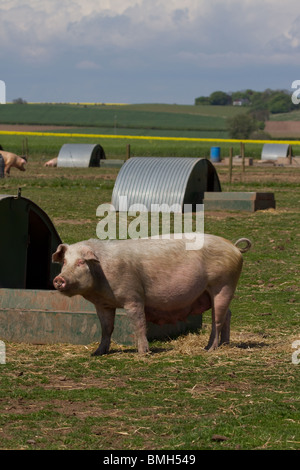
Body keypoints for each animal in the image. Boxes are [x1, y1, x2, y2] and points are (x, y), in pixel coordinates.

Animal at [52, 233, 251, 354]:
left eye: (80, 262)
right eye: (65, 262)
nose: (58, 279)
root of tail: (234, 247)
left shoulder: (134, 296)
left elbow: (139, 323)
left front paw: (143, 352)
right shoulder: (103, 304)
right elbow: (107, 328)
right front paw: (98, 353)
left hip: (223, 285)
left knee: (217, 319)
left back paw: (209, 349)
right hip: (211, 293)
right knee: (227, 314)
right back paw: (223, 345)